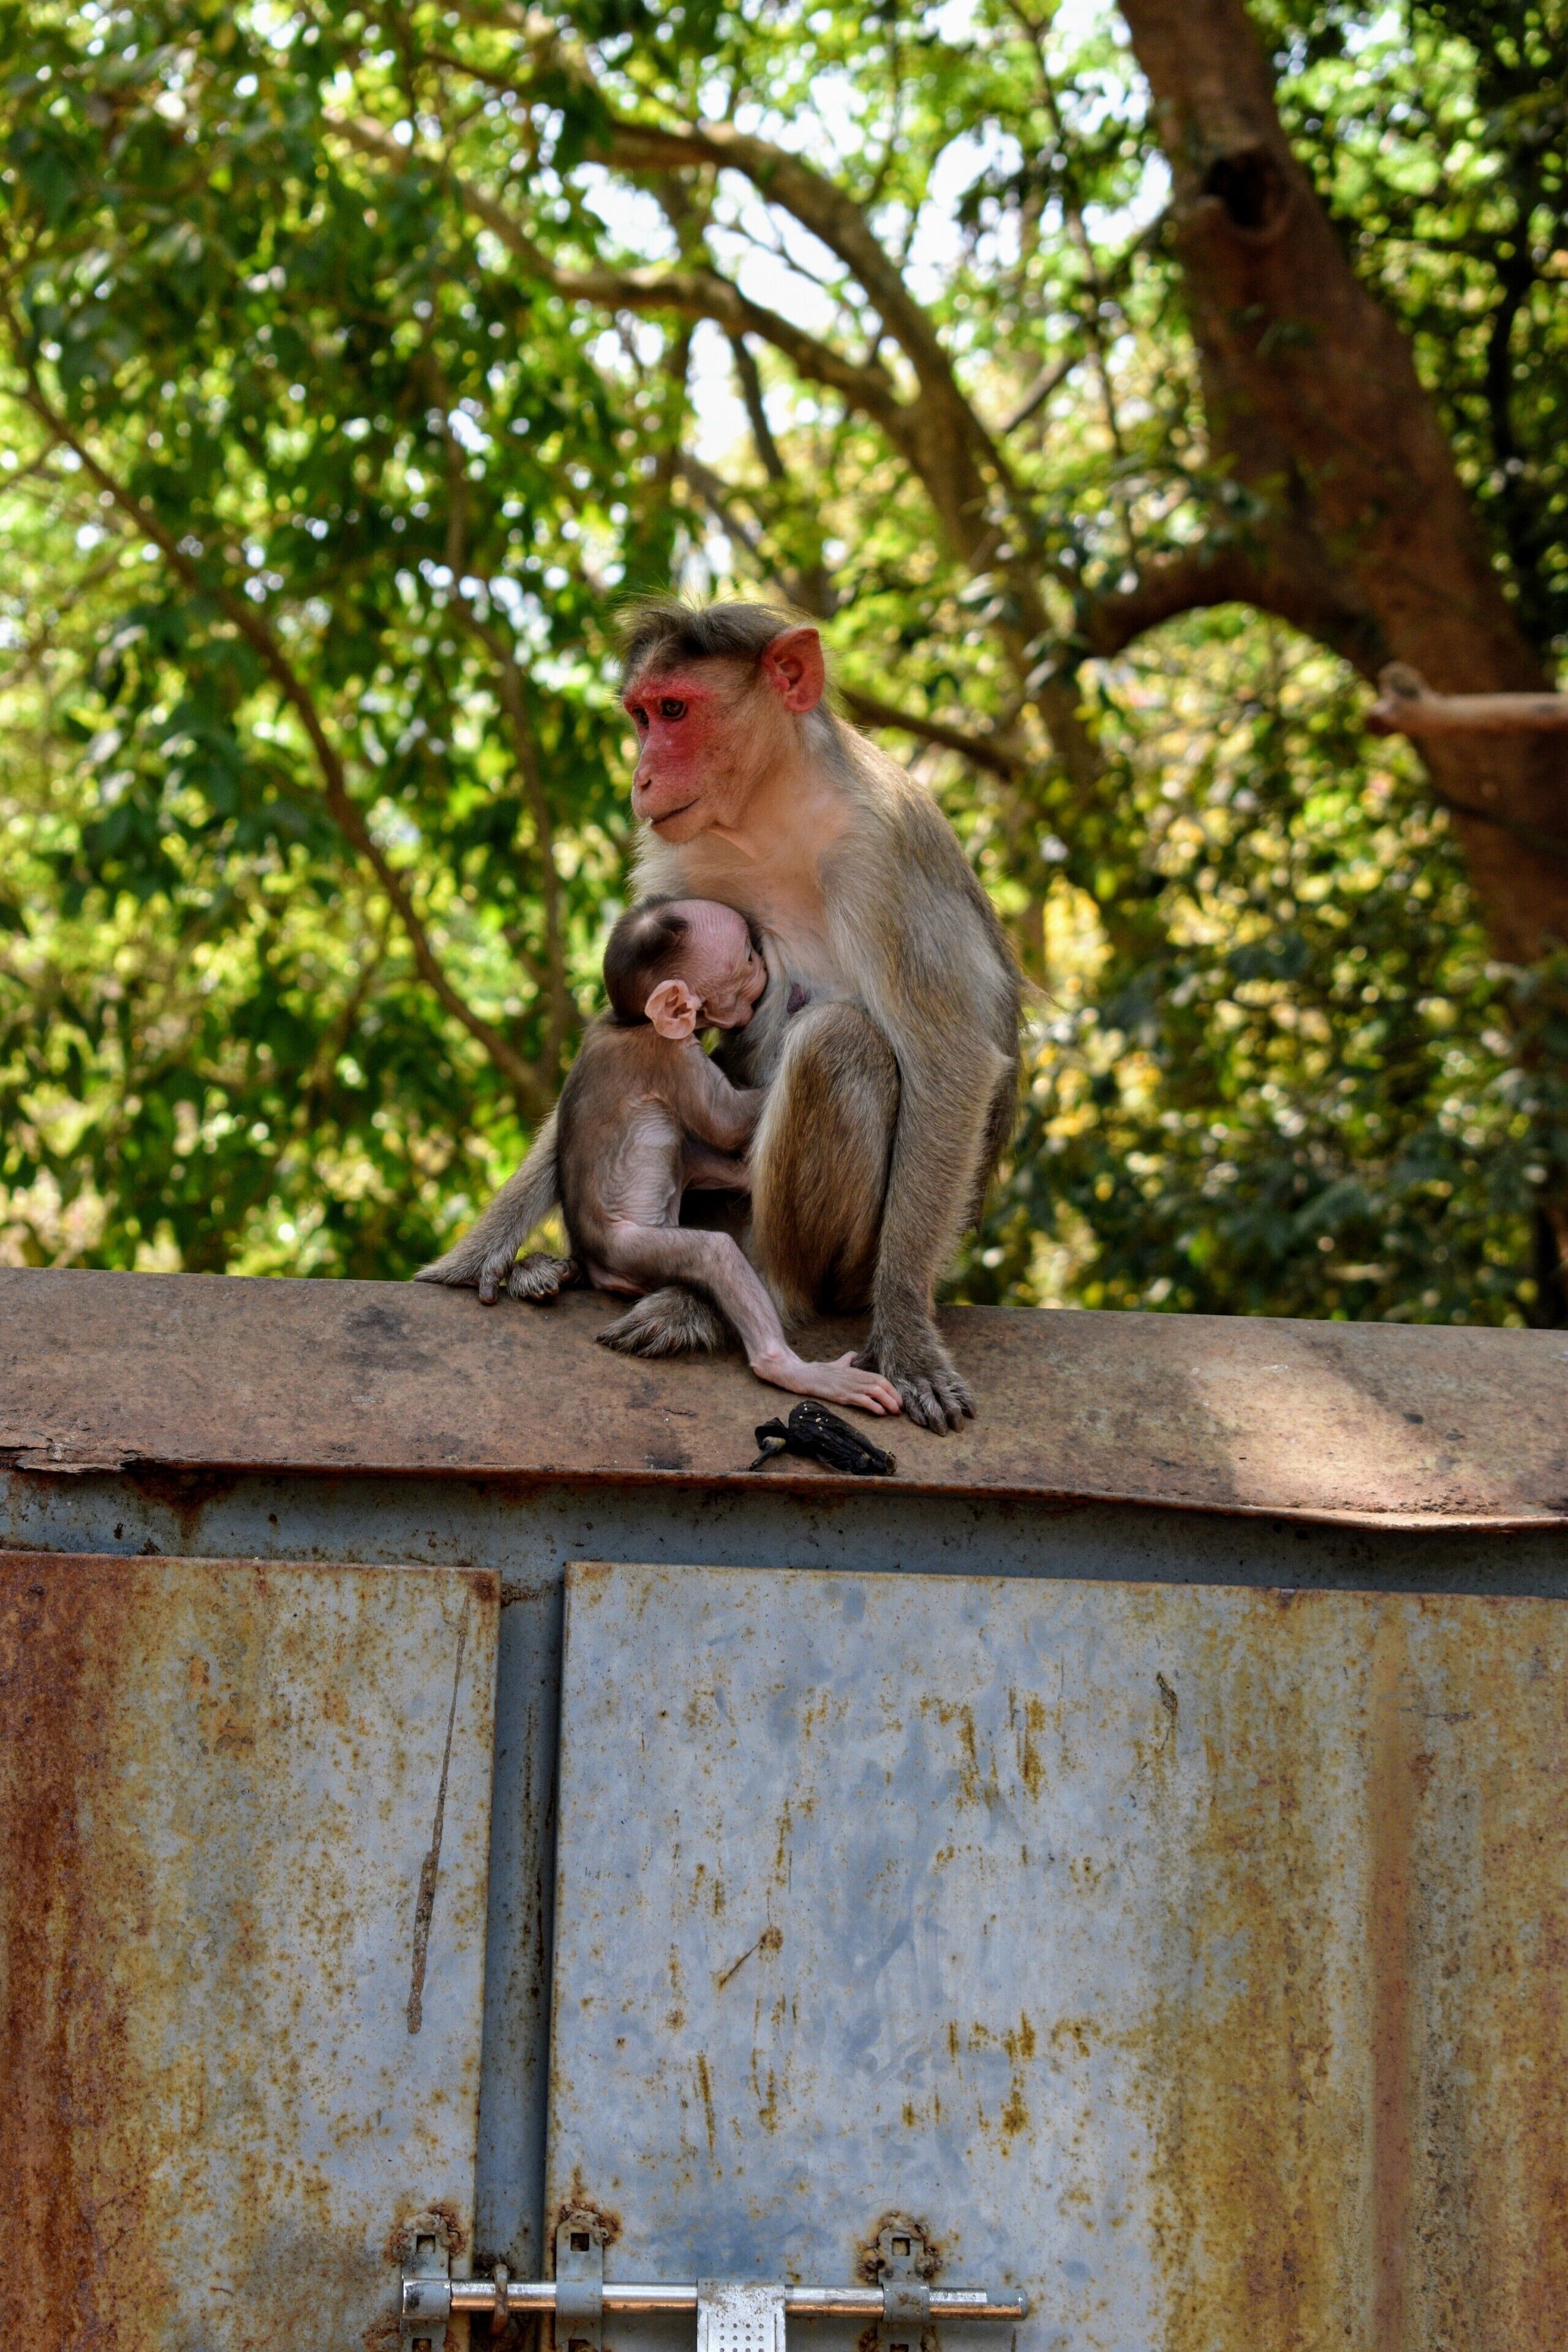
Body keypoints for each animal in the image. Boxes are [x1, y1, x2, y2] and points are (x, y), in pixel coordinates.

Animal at [487, 893, 903, 1417]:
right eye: (747, 958)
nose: (763, 961)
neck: (635, 1023)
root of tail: (592, 1260)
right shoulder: (672, 1059)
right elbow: (725, 1121)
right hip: (633, 1250)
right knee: (714, 1253)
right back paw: (787, 1367)